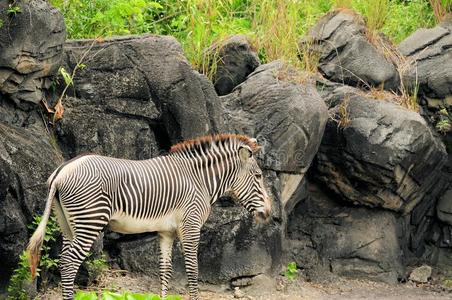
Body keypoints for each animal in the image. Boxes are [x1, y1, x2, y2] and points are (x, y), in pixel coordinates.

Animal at [27, 134, 272, 300]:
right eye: (259, 176)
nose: (269, 213)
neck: (199, 181)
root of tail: (62, 171)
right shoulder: (191, 227)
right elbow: (193, 271)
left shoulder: (166, 232)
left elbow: (165, 271)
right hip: (91, 221)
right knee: (69, 263)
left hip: (68, 224)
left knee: (63, 260)